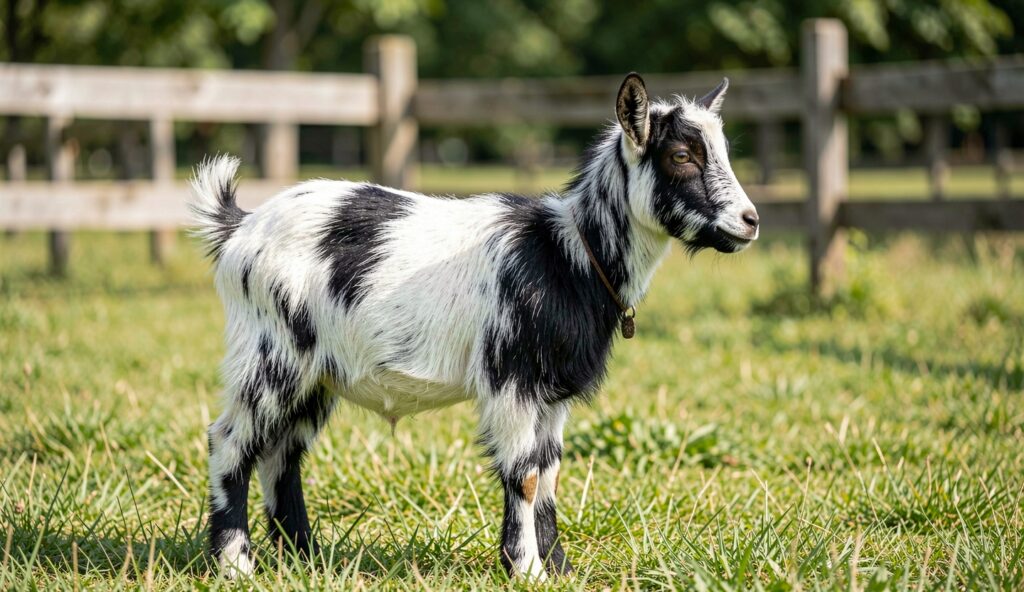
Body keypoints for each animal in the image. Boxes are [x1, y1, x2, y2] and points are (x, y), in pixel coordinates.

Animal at [190, 73, 758, 580]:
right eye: (681, 156)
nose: (750, 221)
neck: (566, 253)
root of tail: (239, 227)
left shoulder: (552, 392)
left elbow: (549, 473)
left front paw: (558, 568)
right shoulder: (513, 380)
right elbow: (524, 476)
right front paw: (525, 569)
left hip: (316, 373)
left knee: (281, 453)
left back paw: (306, 558)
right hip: (272, 353)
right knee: (231, 441)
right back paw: (236, 565)